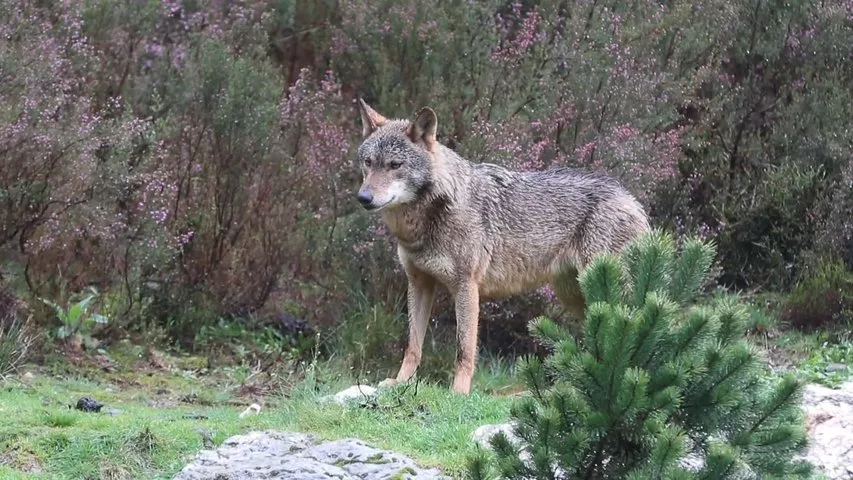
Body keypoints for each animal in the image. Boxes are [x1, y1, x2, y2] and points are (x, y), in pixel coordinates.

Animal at [354, 99, 650, 394]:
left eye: (395, 165)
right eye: (368, 163)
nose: (363, 197)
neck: (428, 216)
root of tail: (632, 200)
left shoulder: (466, 286)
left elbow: (464, 349)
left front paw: (459, 392)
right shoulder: (419, 283)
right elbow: (412, 345)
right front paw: (400, 382)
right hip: (577, 296)